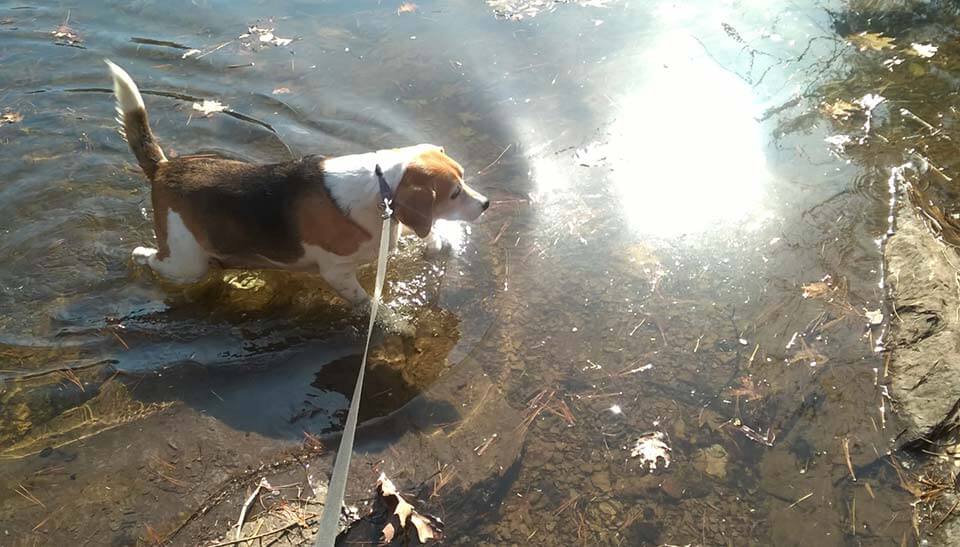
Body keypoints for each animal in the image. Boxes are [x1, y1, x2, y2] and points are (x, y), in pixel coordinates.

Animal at [107, 61, 488, 308]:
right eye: (454, 193)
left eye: (464, 177)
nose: (486, 204)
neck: (380, 190)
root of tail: (163, 167)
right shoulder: (337, 273)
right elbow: (368, 303)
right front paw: (390, 321)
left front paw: (439, 242)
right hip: (185, 262)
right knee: (151, 258)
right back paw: (141, 254)